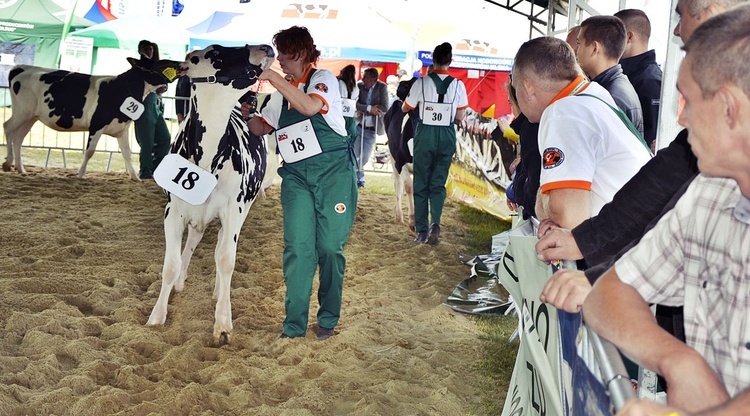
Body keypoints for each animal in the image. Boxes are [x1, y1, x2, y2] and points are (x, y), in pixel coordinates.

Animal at [3, 59, 181, 180]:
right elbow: (89, 151)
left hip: (31, 117)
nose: (166, 83)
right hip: (22, 112)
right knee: (8, 128)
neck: (121, 90)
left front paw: (134, 177)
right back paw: (8, 163)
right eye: (152, 67)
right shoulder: (97, 125)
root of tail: (21, 68)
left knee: (18, 138)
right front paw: (81, 174)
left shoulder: (122, 129)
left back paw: (21, 169)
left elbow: (127, 153)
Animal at [145, 44, 274, 346]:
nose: (266, 47)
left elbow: (226, 260)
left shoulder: (233, 210)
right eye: (213, 54)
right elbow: (170, 264)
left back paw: (217, 292)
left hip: (240, 211)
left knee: (217, 248)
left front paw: (223, 323)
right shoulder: (173, 211)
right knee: (193, 241)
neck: (207, 159)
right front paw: (157, 315)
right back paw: (181, 282)